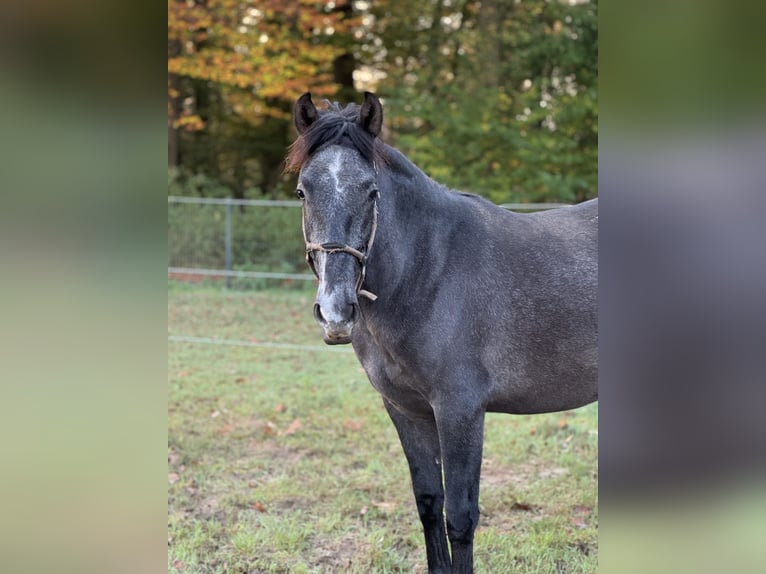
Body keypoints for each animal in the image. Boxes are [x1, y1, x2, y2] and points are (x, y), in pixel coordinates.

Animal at [288, 92, 600, 572]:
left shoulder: (460, 411)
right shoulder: (406, 410)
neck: (429, 270)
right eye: (303, 191)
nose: (336, 311)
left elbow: (461, 517)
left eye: (372, 191)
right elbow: (429, 504)